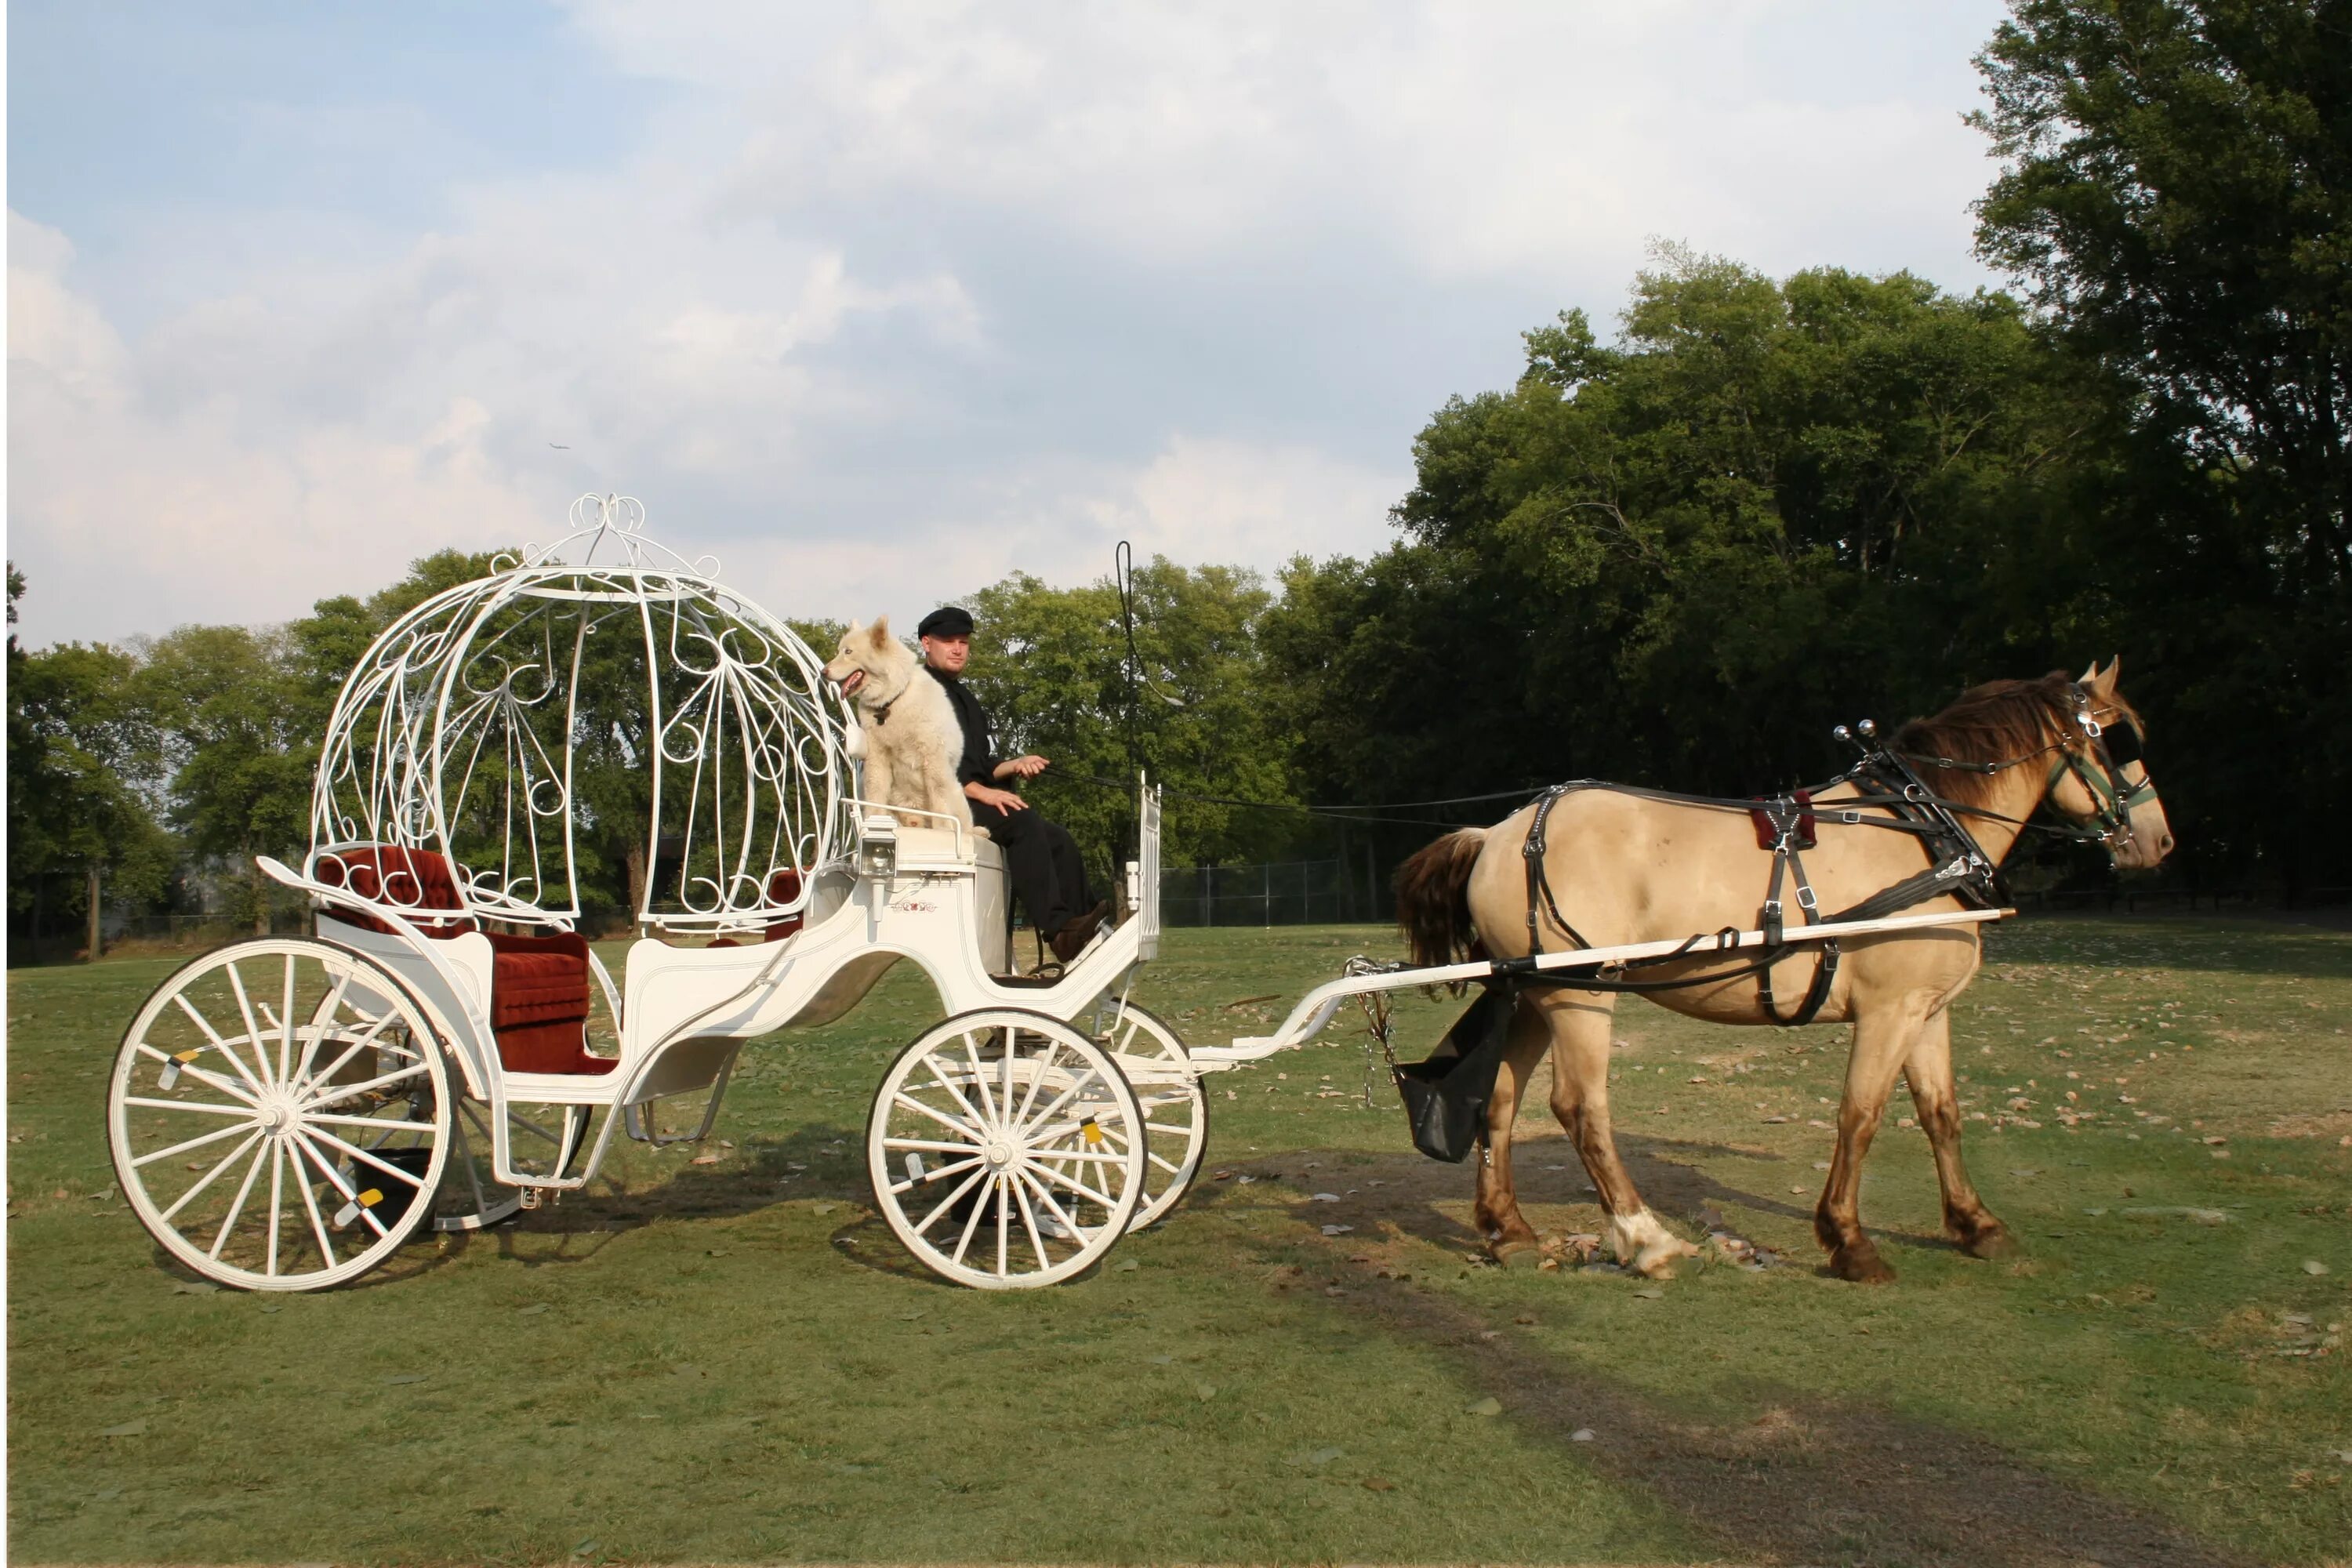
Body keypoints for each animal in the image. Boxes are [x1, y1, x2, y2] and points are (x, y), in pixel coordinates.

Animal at [823, 615, 978, 841]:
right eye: (839, 650)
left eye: (848, 652)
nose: (823, 672)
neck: (892, 701)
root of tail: (915, 821)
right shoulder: (877, 757)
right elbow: (875, 794)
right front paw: (873, 824)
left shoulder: (933, 757)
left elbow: (939, 800)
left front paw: (943, 830)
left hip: (956, 789)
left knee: (965, 825)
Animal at [1383, 658, 2173, 1279]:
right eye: (2117, 737)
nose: (2160, 839)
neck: (1926, 832)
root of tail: (1498, 832)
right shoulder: (1888, 1012)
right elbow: (1860, 1115)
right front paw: (1848, 1241)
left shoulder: (1926, 1009)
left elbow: (1941, 1115)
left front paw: (1976, 1224)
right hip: (1580, 996)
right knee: (1580, 1107)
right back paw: (1646, 1239)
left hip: (1536, 992)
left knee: (1500, 1098)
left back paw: (1507, 1228)